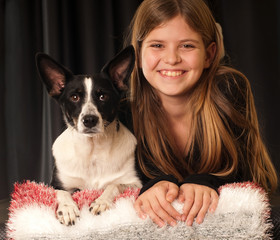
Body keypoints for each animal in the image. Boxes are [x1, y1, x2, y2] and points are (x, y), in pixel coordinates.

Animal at [36, 46, 142, 226]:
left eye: (103, 96)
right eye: (74, 97)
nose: (90, 120)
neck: (92, 151)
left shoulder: (135, 182)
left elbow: (114, 185)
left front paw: (101, 201)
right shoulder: (56, 184)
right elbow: (62, 193)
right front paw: (68, 209)